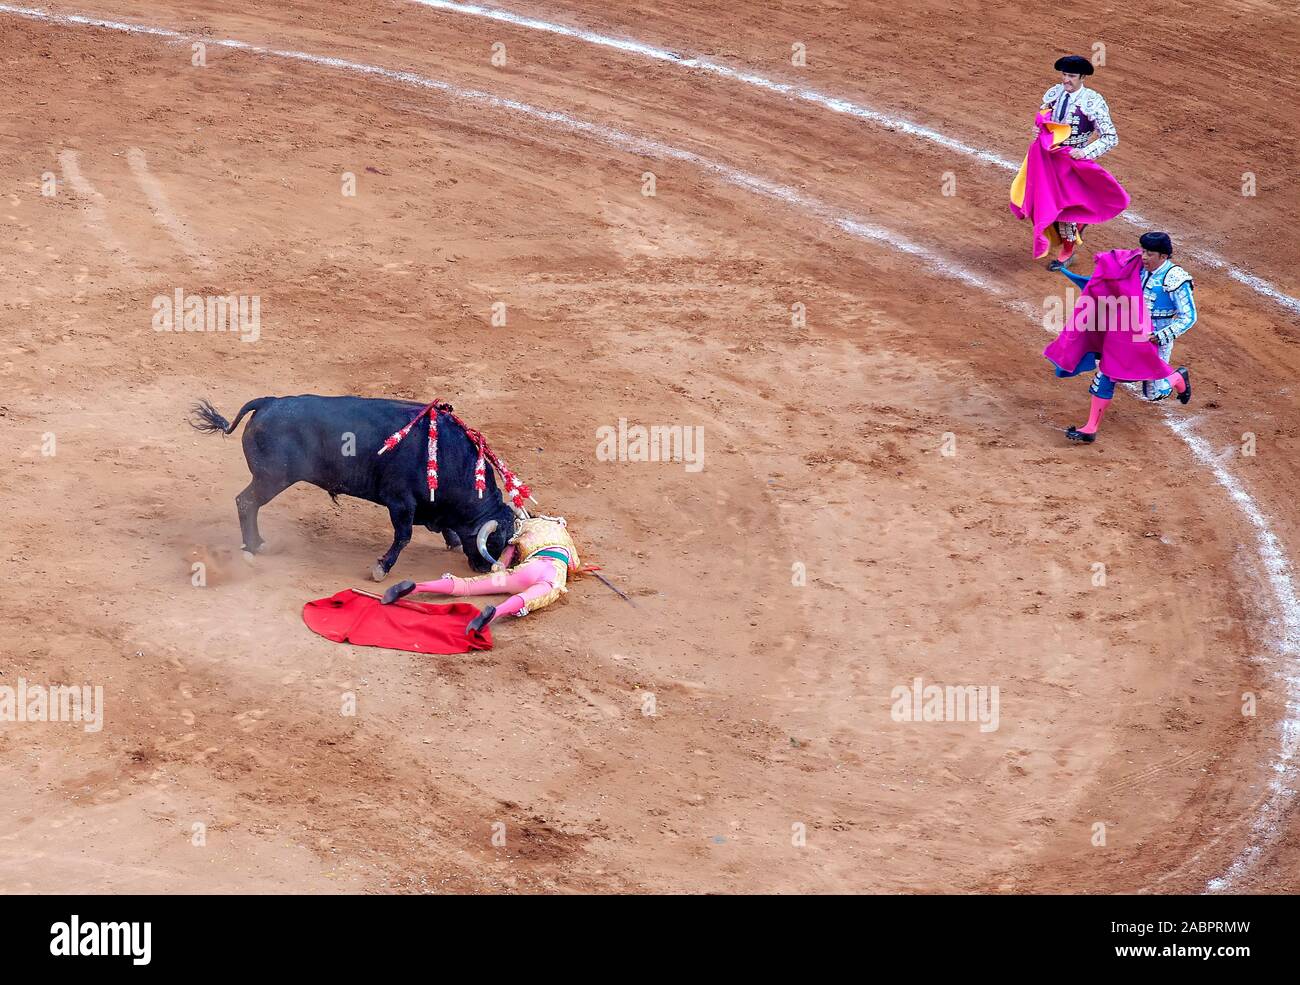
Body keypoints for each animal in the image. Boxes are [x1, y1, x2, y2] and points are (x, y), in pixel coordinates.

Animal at [189, 395, 514, 579]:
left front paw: (452, 541)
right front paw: (381, 568)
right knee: (246, 502)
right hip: (271, 478)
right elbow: (403, 536)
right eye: (493, 543)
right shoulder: (400, 502)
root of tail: (269, 402)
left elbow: (442, 525)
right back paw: (254, 546)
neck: (449, 458)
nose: (484, 569)